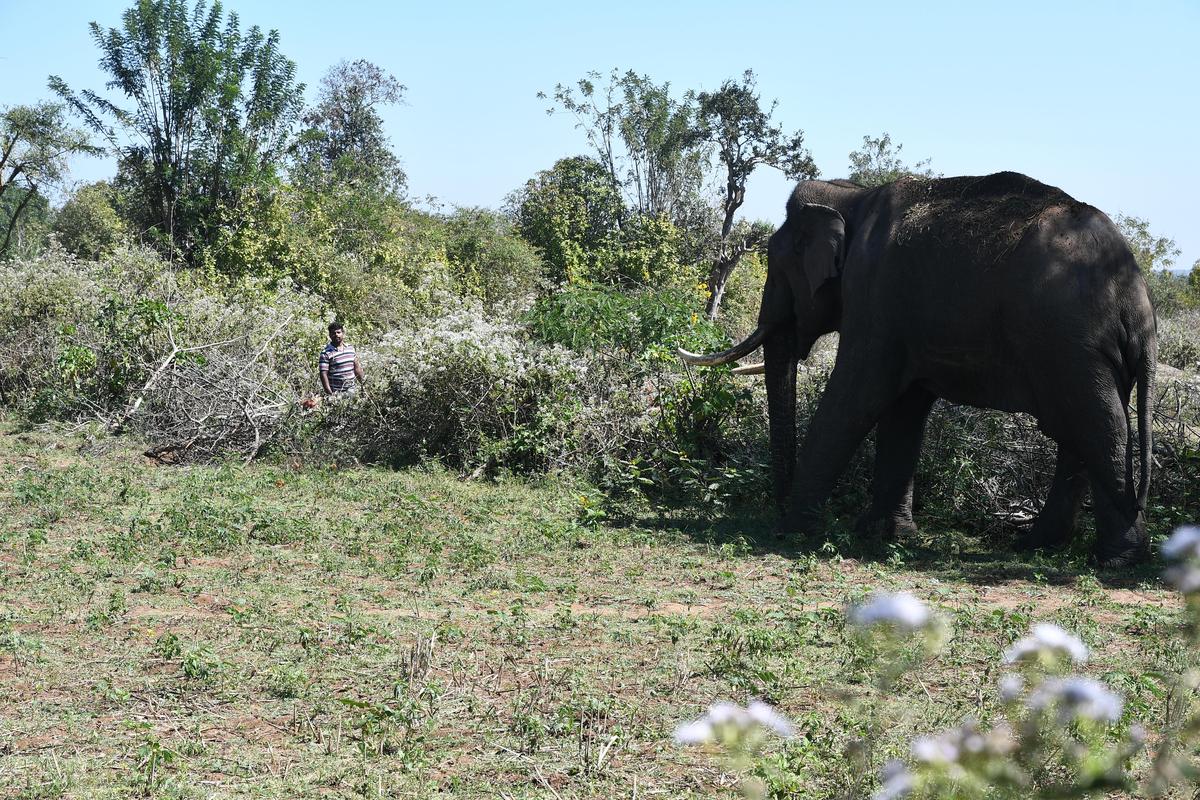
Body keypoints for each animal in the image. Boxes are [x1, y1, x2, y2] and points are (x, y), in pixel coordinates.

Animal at [679, 172, 1157, 567]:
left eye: (778, 270)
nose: (773, 509)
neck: (851, 195)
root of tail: (1138, 301)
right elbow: (905, 407)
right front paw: (886, 535)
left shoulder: (874, 295)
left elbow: (859, 394)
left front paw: (794, 531)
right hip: (1081, 349)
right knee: (1079, 429)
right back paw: (1038, 546)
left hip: (1068, 340)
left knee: (1096, 424)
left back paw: (1113, 562)